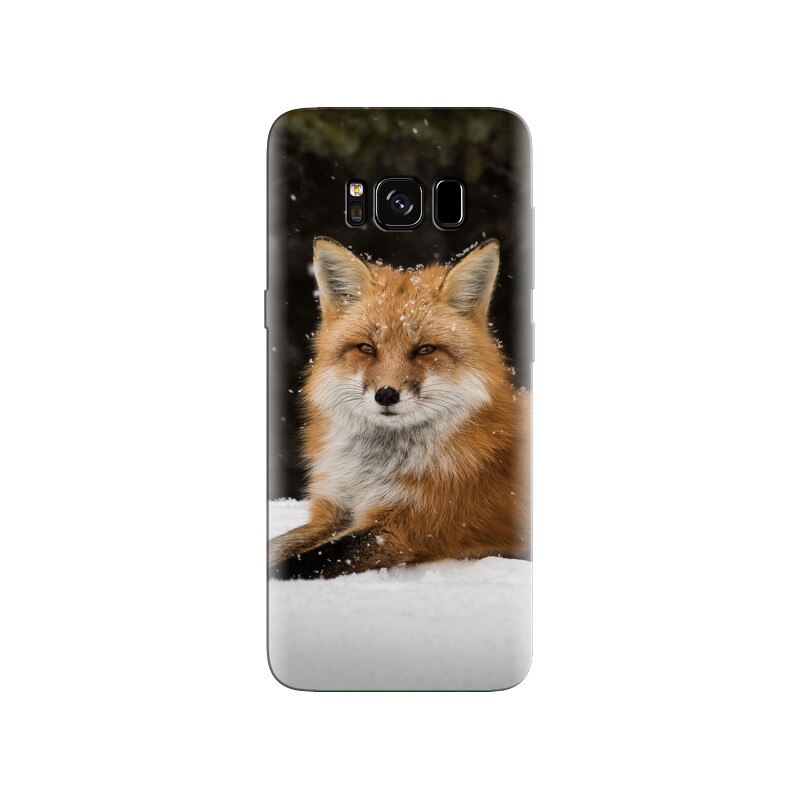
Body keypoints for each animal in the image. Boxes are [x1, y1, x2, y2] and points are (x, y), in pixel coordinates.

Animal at [269, 236, 530, 580]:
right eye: (366, 348)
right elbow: (278, 544)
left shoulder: (406, 527)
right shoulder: (333, 510)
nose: (387, 395)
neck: (371, 470)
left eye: (425, 350)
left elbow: (312, 559)